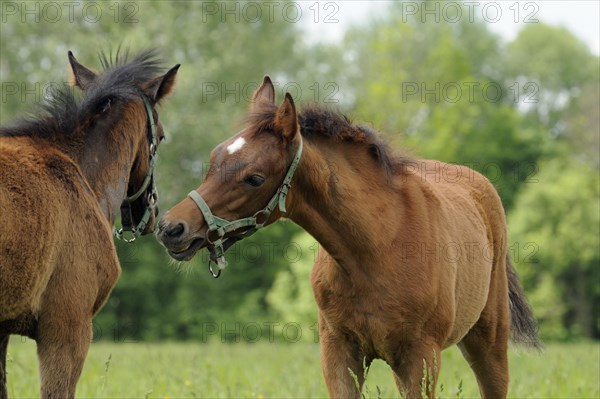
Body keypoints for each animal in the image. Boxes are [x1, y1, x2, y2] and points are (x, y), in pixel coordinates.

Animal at [158, 76, 540, 398]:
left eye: (254, 178)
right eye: (213, 159)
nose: (171, 228)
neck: (375, 250)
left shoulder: (421, 356)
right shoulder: (339, 352)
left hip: (488, 342)